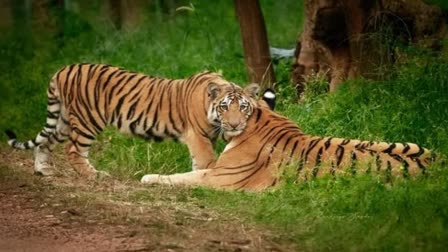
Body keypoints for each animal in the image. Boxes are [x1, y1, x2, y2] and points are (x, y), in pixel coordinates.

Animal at [4, 63, 260, 179]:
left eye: (243, 107)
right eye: (224, 107)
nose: (235, 125)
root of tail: (63, 69)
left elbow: (199, 163)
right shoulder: (198, 136)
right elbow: (207, 162)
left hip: (64, 120)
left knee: (45, 142)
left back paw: (43, 170)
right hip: (87, 120)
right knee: (73, 150)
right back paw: (93, 175)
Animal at [141, 87, 434, 190]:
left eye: (241, 107)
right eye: (224, 107)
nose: (233, 124)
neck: (260, 119)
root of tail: (437, 168)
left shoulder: (219, 178)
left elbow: (183, 177)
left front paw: (148, 177)